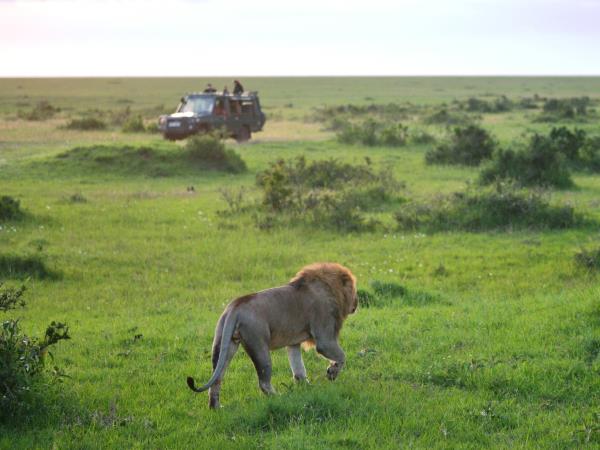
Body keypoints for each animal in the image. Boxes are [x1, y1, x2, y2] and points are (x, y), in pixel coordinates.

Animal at [188, 262, 356, 410]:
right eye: (355, 290)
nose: (357, 303)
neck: (329, 288)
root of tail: (234, 308)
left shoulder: (293, 343)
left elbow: (298, 369)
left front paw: (307, 388)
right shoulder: (324, 337)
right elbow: (342, 356)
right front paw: (331, 372)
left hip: (224, 343)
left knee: (217, 379)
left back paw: (215, 407)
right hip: (259, 345)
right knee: (263, 382)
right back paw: (280, 398)